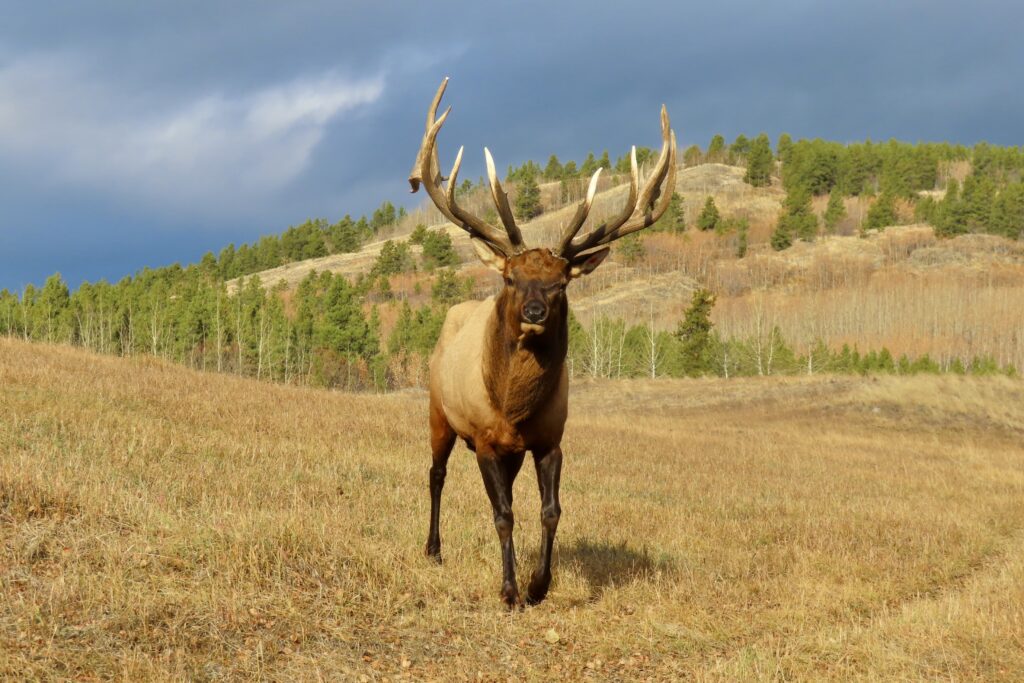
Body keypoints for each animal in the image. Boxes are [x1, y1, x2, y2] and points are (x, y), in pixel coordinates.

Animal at [409, 78, 676, 608]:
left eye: (560, 283)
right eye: (512, 278)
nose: (534, 313)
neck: (513, 408)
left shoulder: (550, 438)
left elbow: (550, 511)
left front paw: (538, 585)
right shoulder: (485, 439)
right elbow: (503, 515)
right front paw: (509, 590)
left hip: (508, 451)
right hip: (437, 411)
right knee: (436, 475)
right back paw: (433, 549)